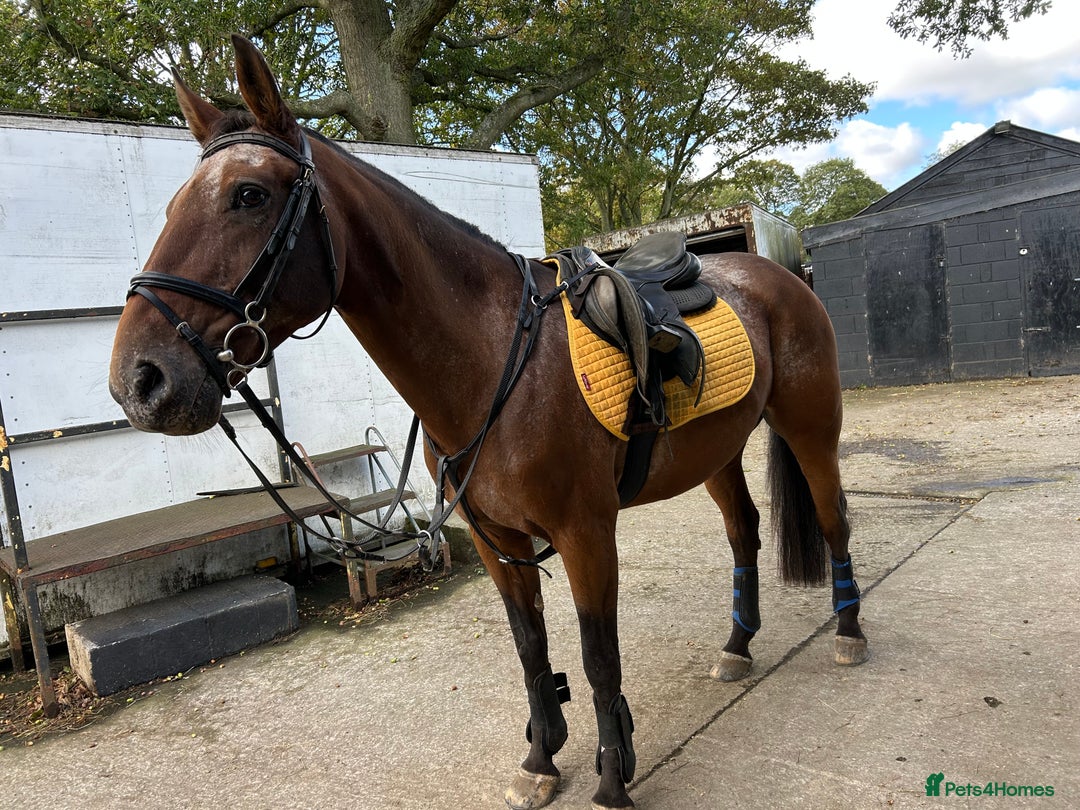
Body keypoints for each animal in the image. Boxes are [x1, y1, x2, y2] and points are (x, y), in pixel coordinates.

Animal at [108, 36, 868, 810]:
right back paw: (737, 646)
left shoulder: (586, 533)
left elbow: (598, 657)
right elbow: (530, 647)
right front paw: (542, 759)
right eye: (173, 204)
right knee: (743, 530)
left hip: (810, 428)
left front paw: (612, 777)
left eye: (249, 195)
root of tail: (777, 273)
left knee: (832, 517)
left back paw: (848, 631)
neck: (495, 360)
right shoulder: (496, 537)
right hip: (714, 453)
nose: (140, 380)